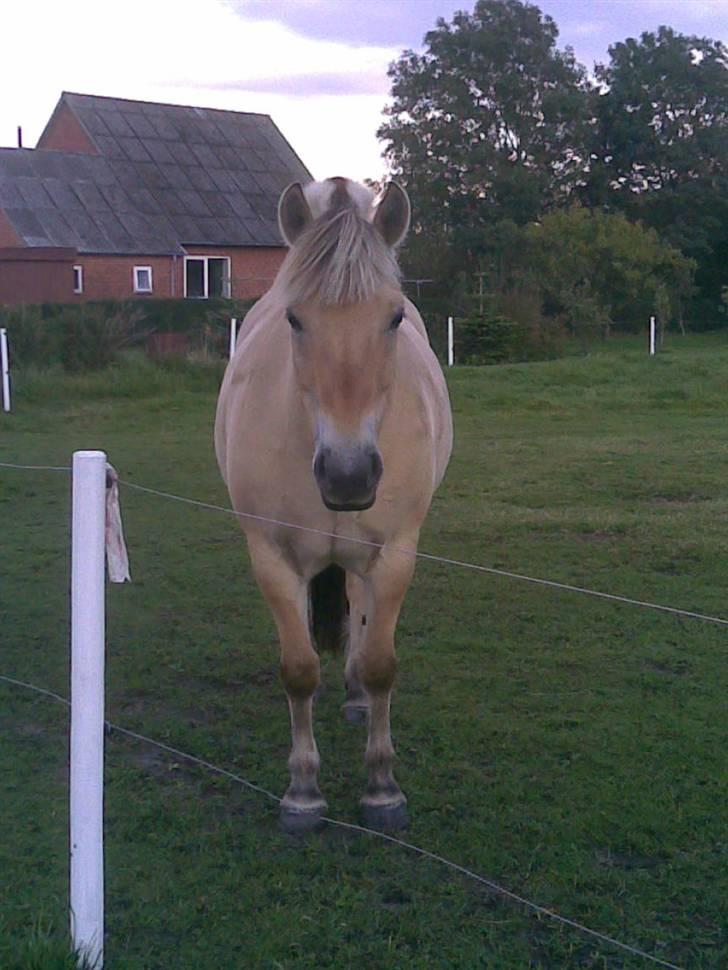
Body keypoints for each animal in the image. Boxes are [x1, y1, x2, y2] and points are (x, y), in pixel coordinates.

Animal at [216, 178, 452, 828]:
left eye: (394, 317)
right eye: (295, 318)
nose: (349, 475)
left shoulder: (396, 554)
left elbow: (380, 663)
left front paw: (382, 786)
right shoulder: (271, 557)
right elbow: (298, 670)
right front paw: (302, 791)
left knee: (360, 614)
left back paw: (353, 698)